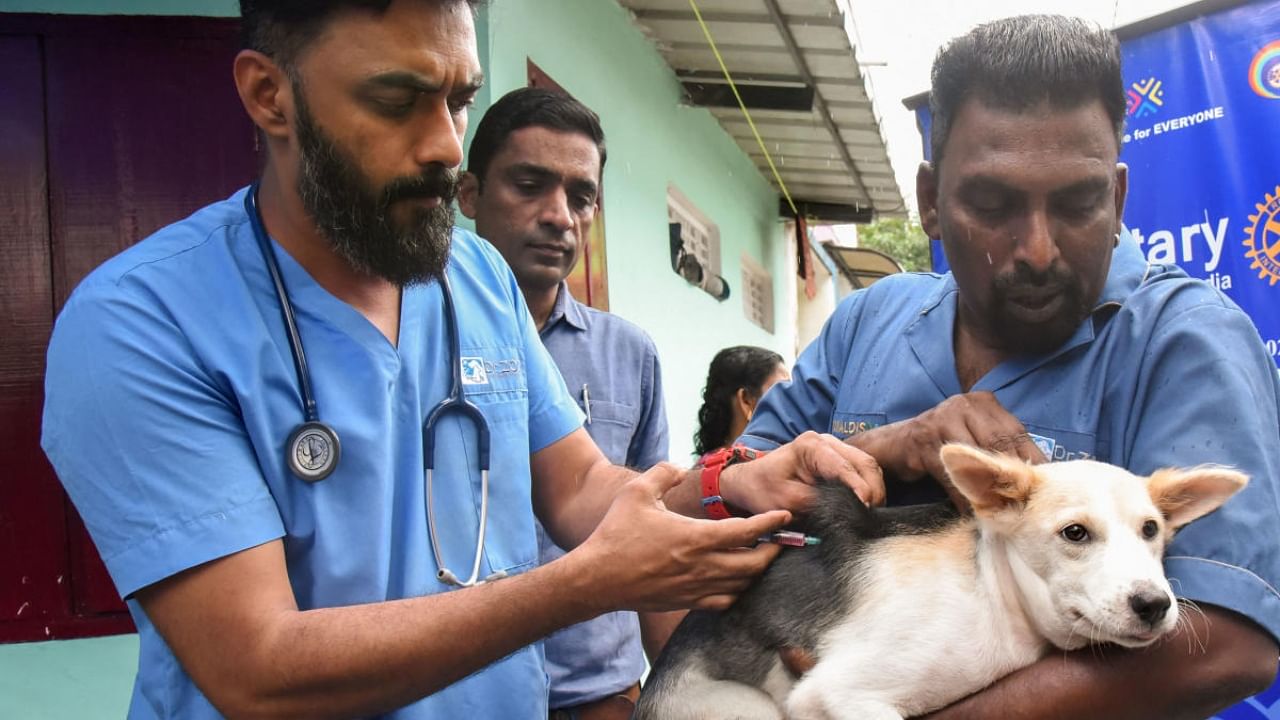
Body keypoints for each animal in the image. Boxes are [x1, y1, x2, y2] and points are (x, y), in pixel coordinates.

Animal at [640, 443, 1249, 717]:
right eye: (1075, 533)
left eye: (1151, 530)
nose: (1154, 604)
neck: (994, 593)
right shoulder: (839, 695)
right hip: (742, 707)